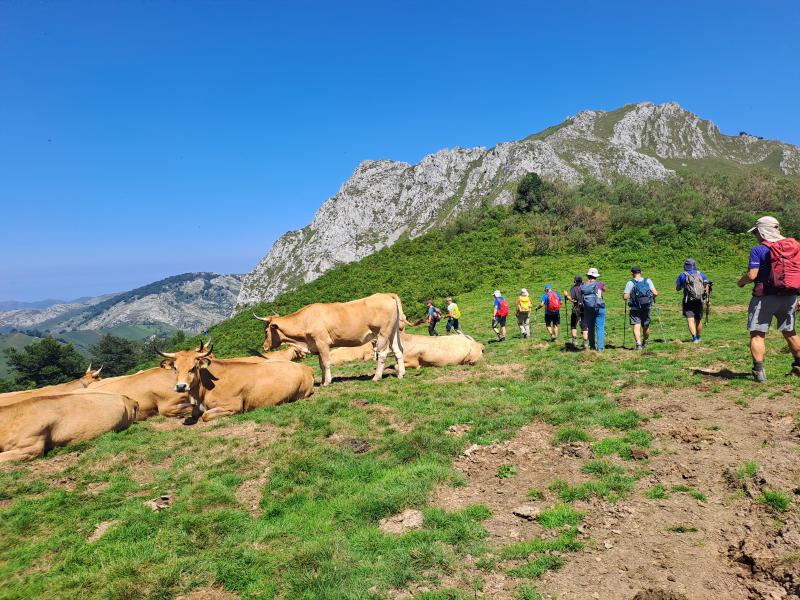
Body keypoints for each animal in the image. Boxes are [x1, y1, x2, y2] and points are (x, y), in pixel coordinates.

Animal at [156, 344, 316, 424]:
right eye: (175, 368)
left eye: (193, 367)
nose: (181, 386)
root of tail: (306, 368)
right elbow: (194, 413)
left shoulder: (232, 406)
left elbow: (205, 416)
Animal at [255, 294, 406, 386]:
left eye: (266, 331)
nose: (264, 346)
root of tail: (386, 295)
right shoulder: (316, 346)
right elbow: (321, 364)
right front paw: (322, 382)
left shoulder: (322, 342)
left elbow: (327, 362)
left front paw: (327, 382)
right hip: (393, 332)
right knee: (398, 350)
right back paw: (401, 374)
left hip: (382, 333)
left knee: (383, 353)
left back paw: (376, 377)